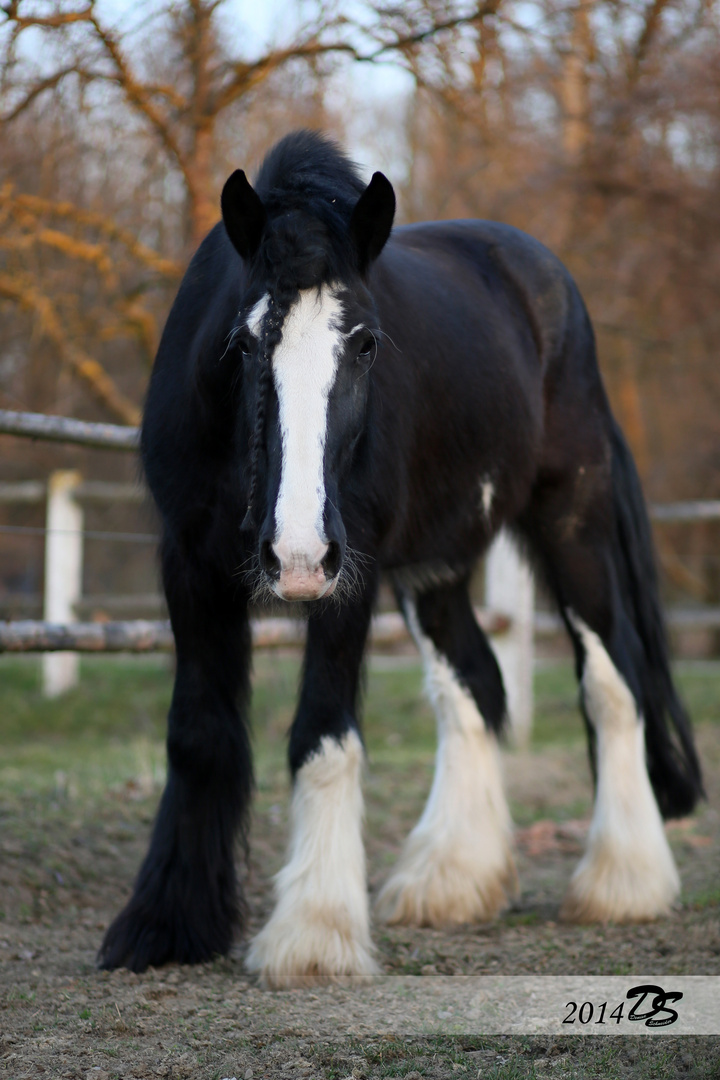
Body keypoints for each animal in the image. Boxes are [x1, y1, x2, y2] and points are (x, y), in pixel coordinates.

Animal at [99, 130, 703, 984]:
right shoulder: (189, 564)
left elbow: (321, 736)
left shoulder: (348, 573)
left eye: (366, 343)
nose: (293, 553)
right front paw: (165, 925)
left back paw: (623, 881)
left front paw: (312, 936)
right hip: (435, 565)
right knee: (474, 684)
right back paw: (451, 878)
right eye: (243, 342)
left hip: (571, 522)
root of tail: (542, 274)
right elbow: (197, 733)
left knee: (612, 680)